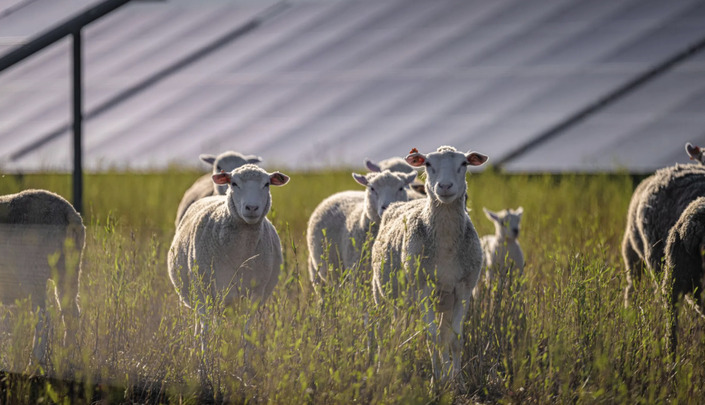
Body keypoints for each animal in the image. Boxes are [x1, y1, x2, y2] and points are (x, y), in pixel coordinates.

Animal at [0, 189, 85, 365]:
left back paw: (34, 362)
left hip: (33, 270)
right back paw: (66, 358)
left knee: (43, 317)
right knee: (71, 313)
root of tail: (69, 213)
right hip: (70, 268)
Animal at [372, 145, 488, 381]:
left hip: (442, 300)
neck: (446, 243)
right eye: (427, 164)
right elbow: (432, 338)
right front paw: (436, 380)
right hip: (381, 293)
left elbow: (454, 338)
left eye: (464, 163)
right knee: (384, 331)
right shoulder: (423, 288)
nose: (444, 186)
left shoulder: (463, 289)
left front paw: (456, 381)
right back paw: (382, 367)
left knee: (438, 334)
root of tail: (398, 204)